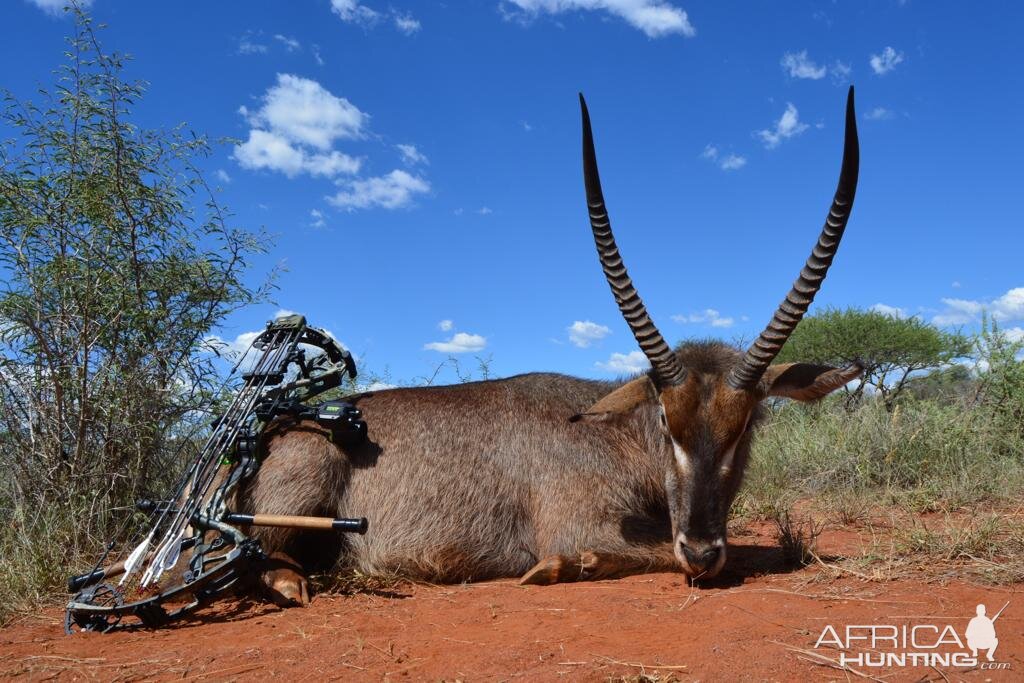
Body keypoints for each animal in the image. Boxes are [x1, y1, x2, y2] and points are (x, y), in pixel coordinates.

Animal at [243, 85, 860, 602]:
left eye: (749, 422)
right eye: (666, 420)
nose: (703, 550)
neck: (616, 437)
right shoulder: (580, 522)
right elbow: (654, 552)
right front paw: (561, 566)